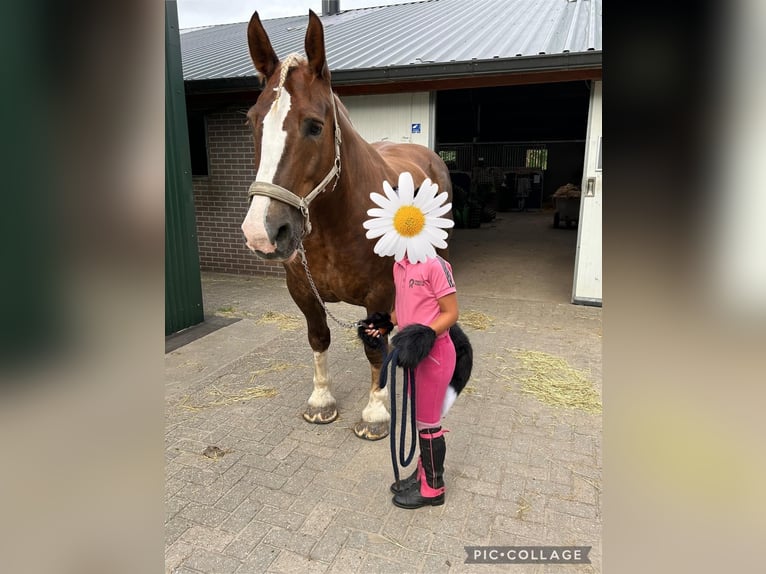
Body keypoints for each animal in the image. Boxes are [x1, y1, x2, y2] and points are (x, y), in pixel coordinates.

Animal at [243, 9, 452, 444]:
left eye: (315, 125)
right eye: (253, 122)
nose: (261, 233)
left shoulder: (380, 293)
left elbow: (376, 350)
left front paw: (375, 413)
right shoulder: (303, 292)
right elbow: (319, 338)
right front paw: (321, 401)